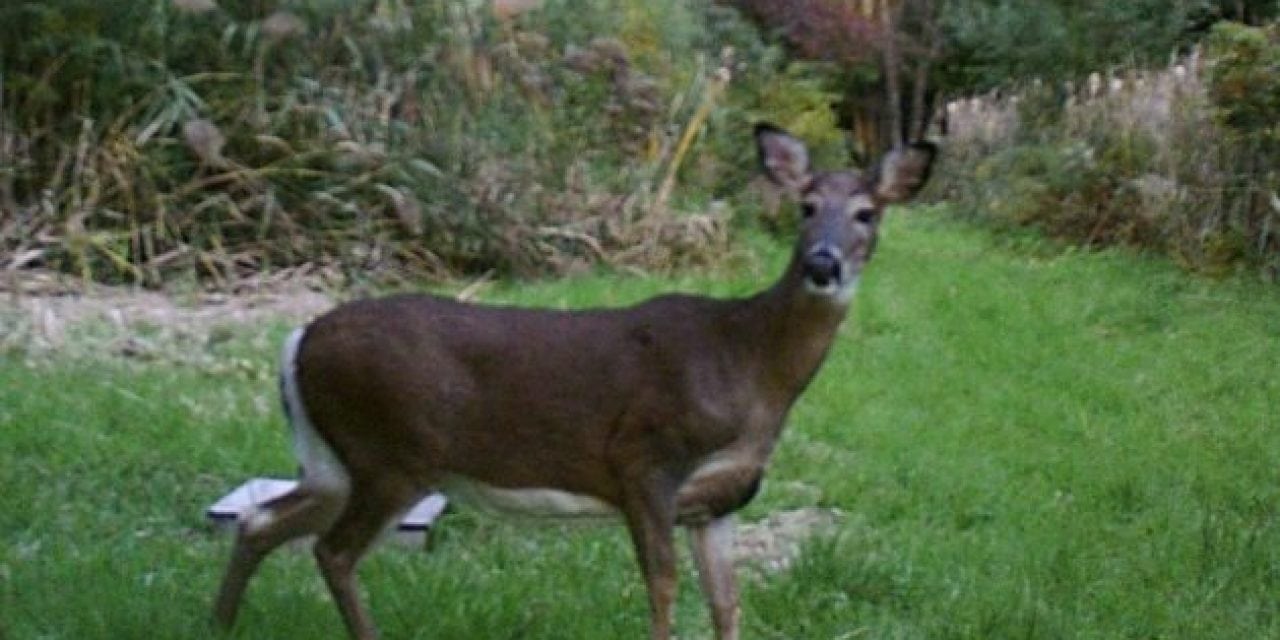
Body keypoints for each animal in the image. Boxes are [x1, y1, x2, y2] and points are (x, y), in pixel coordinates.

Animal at [207, 124, 931, 640]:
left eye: (867, 213)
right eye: (806, 206)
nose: (822, 264)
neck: (750, 365)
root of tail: (297, 341)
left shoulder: (719, 501)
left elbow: (727, 603)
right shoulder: (644, 457)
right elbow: (663, 586)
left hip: (339, 461)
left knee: (262, 521)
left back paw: (220, 624)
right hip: (391, 449)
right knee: (331, 552)